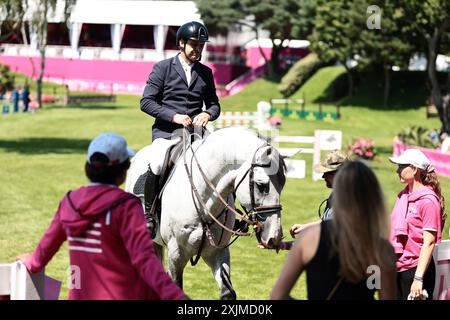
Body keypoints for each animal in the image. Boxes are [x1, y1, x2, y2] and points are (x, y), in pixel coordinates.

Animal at [124, 127, 284, 300]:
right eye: (261, 185)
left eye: (283, 184)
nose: (274, 237)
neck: (204, 204)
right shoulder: (176, 254)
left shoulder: (217, 252)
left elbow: (227, 292)